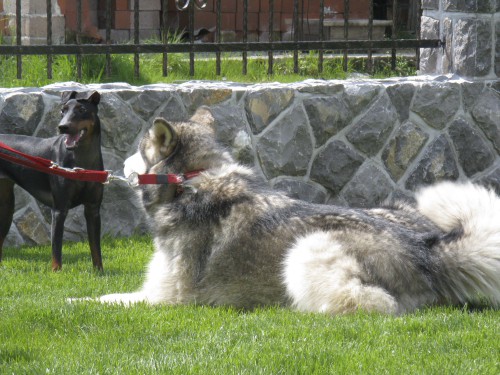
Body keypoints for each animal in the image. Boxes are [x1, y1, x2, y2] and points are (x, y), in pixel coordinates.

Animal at [88, 108, 498, 314]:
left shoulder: (170, 300)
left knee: (373, 305)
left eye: (139, 149)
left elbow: (107, 301)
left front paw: (79, 303)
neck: (193, 179)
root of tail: (426, 248)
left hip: (307, 248)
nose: (117, 164)